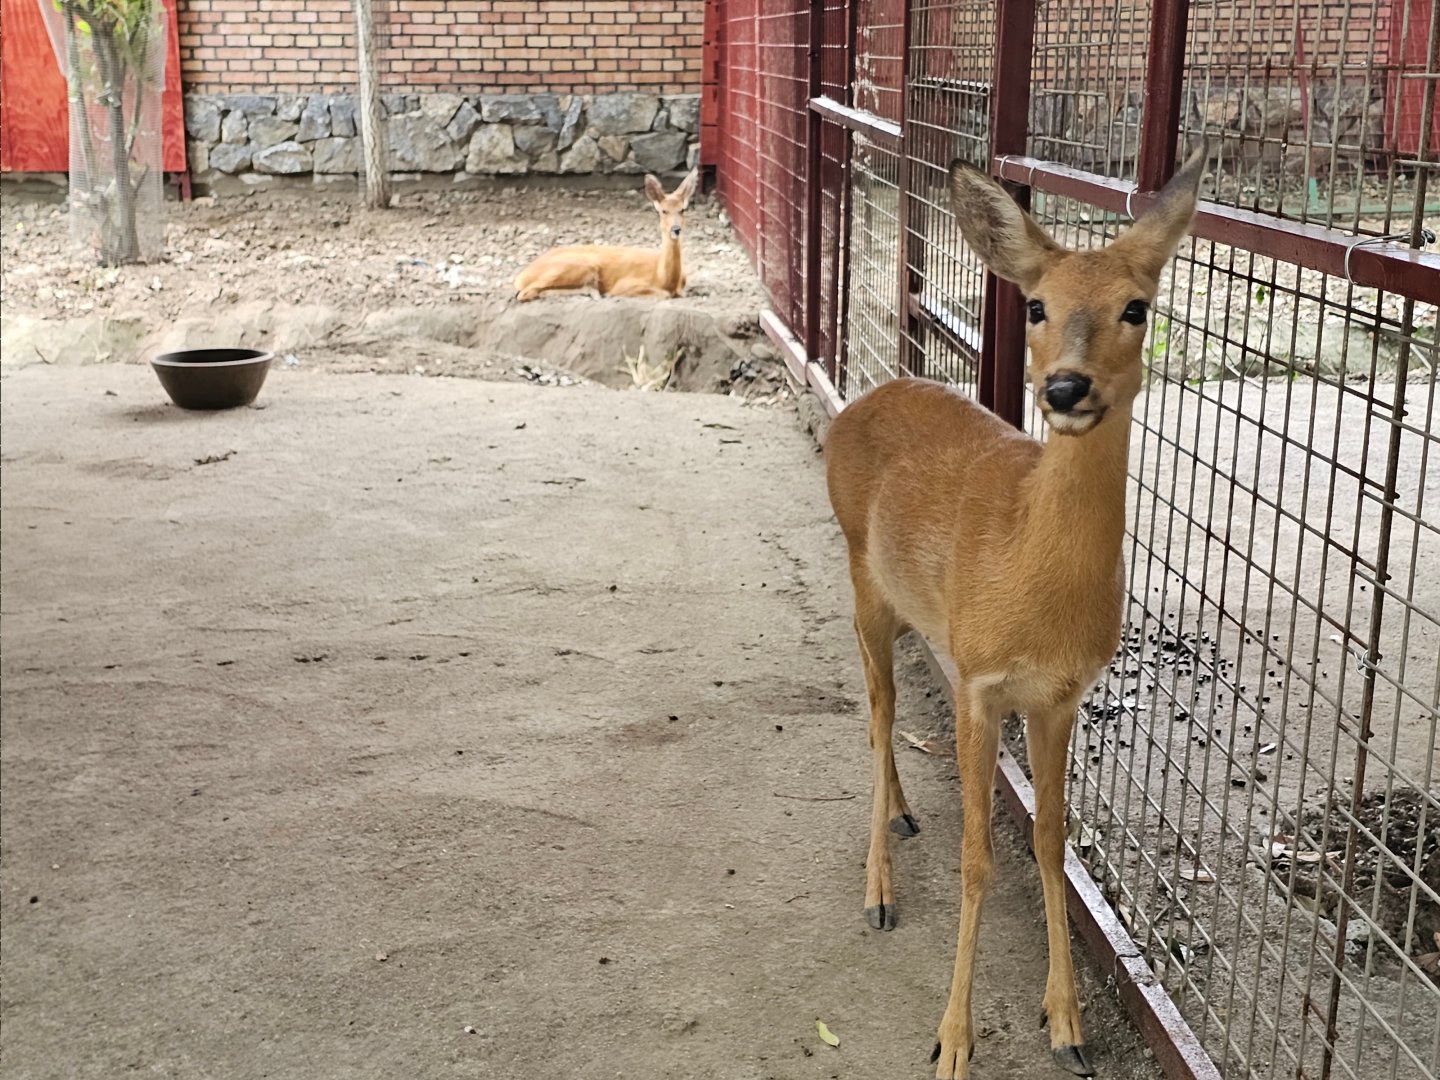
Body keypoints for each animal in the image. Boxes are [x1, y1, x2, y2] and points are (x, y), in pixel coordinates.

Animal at [513, 169, 698, 302]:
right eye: (663, 211)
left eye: (683, 209)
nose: (676, 229)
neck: (664, 279)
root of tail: (521, 276)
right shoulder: (625, 284)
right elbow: (663, 295)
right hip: (579, 266)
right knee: (526, 293)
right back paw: (593, 292)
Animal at [823, 140, 1207, 1080]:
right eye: (1036, 304)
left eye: (1137, 307)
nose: (1065, 388)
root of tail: (862, 399)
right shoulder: (980, 683)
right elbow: (978, 859)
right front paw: (953, 1041)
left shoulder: (1059, 695)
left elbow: (1049, 843)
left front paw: (1066, 1022)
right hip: (861, 582)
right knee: (877, 713)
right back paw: (878, 888)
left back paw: (903, 815)